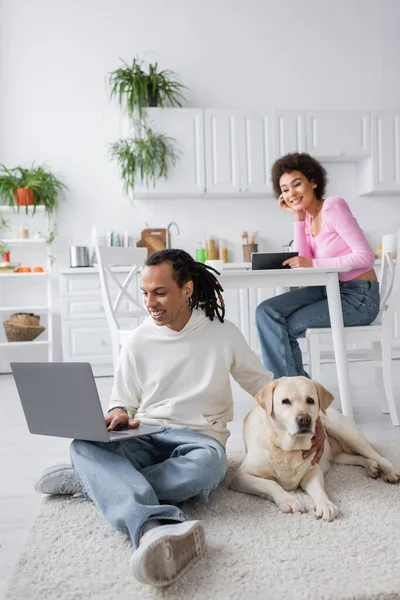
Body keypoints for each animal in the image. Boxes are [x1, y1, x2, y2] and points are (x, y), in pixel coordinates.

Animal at [230, 378, 398, 524]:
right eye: (285, 401)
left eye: (310, 400)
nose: (304, 419)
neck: (289, 449)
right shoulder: (240, 477)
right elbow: (270, 484)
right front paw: (289, 501)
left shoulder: (312, 470)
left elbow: (319, 490)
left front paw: (326, 505)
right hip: (336, 454)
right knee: (356, 457)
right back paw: (371, 466)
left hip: (347, 434)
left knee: (377, 455)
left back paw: (390, 471)